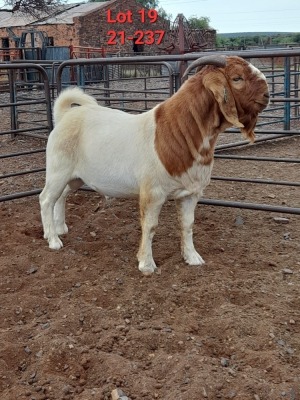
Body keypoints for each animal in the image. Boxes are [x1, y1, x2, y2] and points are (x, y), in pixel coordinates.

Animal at [39, 55, 270, 276]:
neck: (178, 131)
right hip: (58, 170)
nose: (267, 94)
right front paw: (146, 265)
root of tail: (65, 116)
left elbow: (188, 224)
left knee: (62, 195)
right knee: (46, 198)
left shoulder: (191, 193)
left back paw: (60, 228)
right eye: (237, 78)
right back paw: (53, 239)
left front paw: (193, 258)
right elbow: (150, 227)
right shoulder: (153, 192)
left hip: (76, 177)